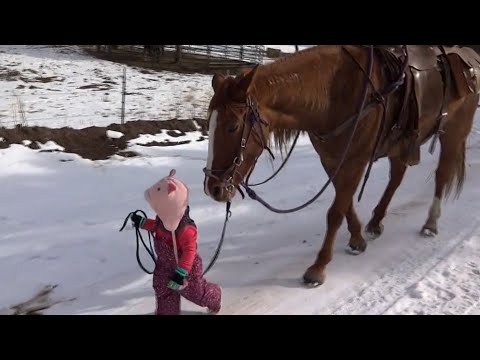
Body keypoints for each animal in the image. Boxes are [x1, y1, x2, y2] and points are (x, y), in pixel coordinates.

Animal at [201, 45, 480, 286]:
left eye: (232, 127)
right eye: (210, 123)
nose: (213, 188)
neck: (333, 92)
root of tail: (471, 59)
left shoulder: (355, 160)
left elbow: (335, 212)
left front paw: (318, 267)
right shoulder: (332, 160)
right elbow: (344, 204)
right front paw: (357, 239)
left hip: (453, 131)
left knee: (442, 174)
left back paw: (430, 223)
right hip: (401, 143)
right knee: (397, 177)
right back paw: (376, 221)